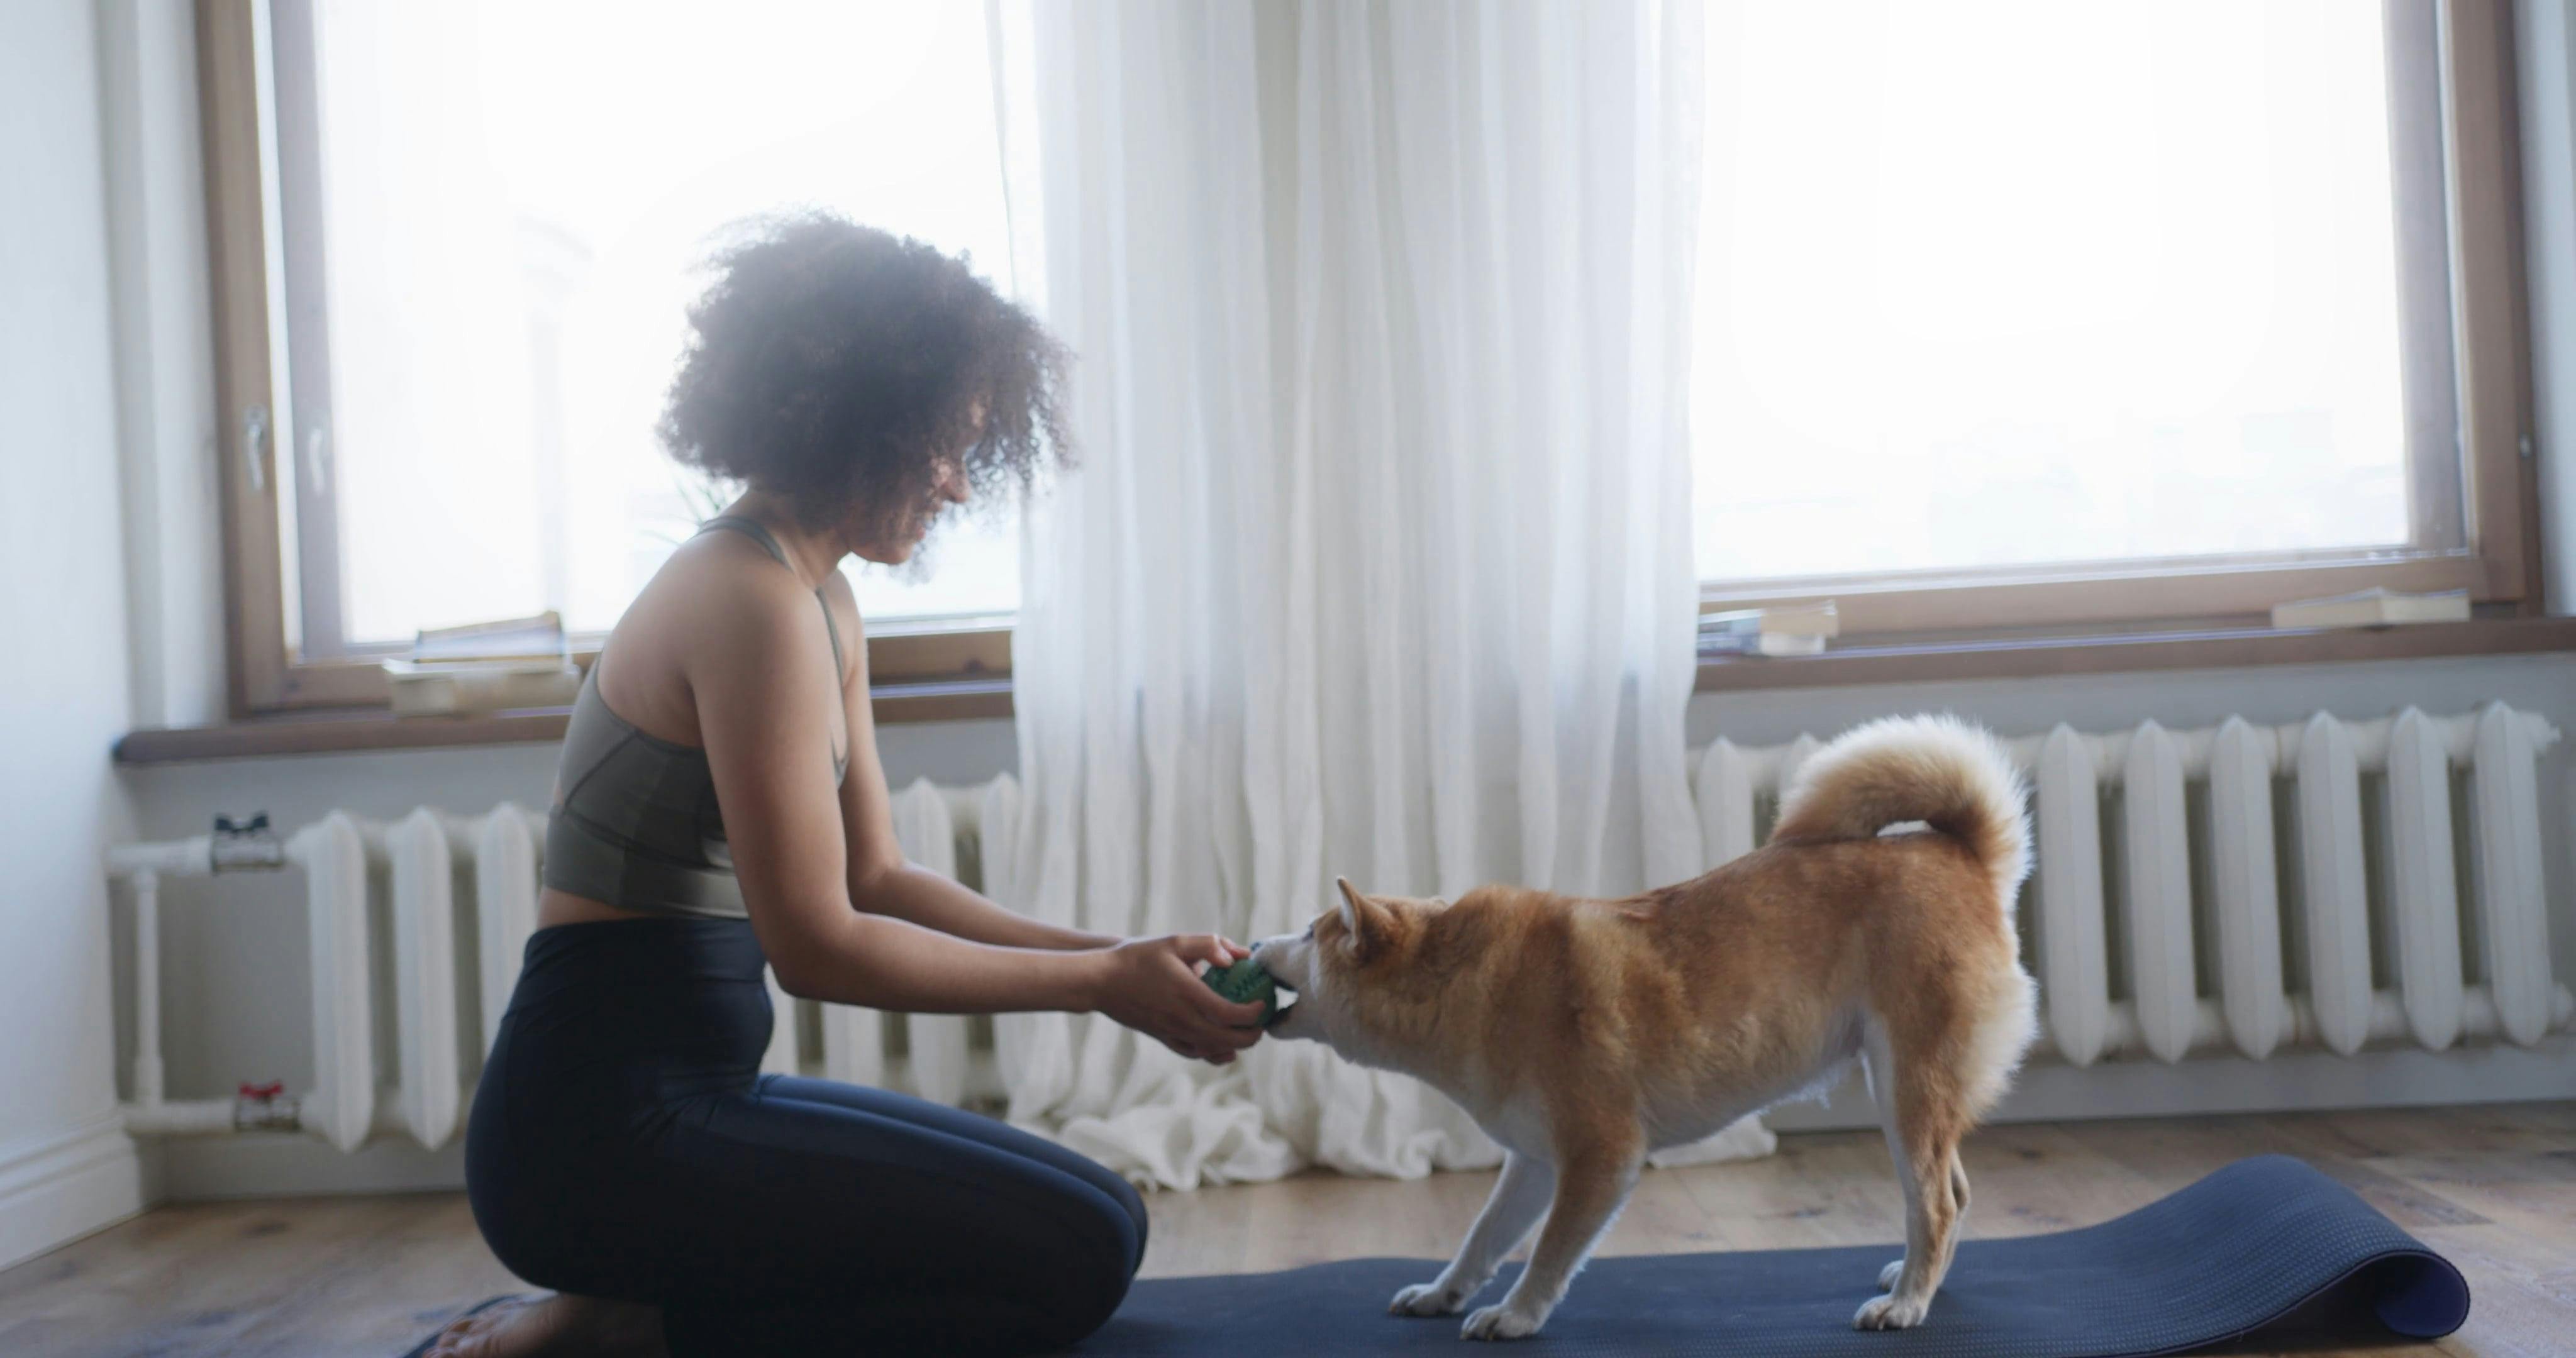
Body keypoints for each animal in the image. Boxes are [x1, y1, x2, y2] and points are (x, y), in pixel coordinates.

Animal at [1257, 716, 2040, 1340]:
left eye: (1309, 931)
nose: (1254, 944)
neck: (1473, 987)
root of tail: (1962, 854)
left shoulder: (1600, 1158)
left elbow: (1549, 1254)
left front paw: (1516, 1315)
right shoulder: (1534, 1161)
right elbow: (1481, 1238)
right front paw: (1441, 1294)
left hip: (1906, 1089)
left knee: (1934, 1203)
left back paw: (1906, 1303)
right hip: (1905, 1091)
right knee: (1953, 1195)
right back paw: (1912, 1280)